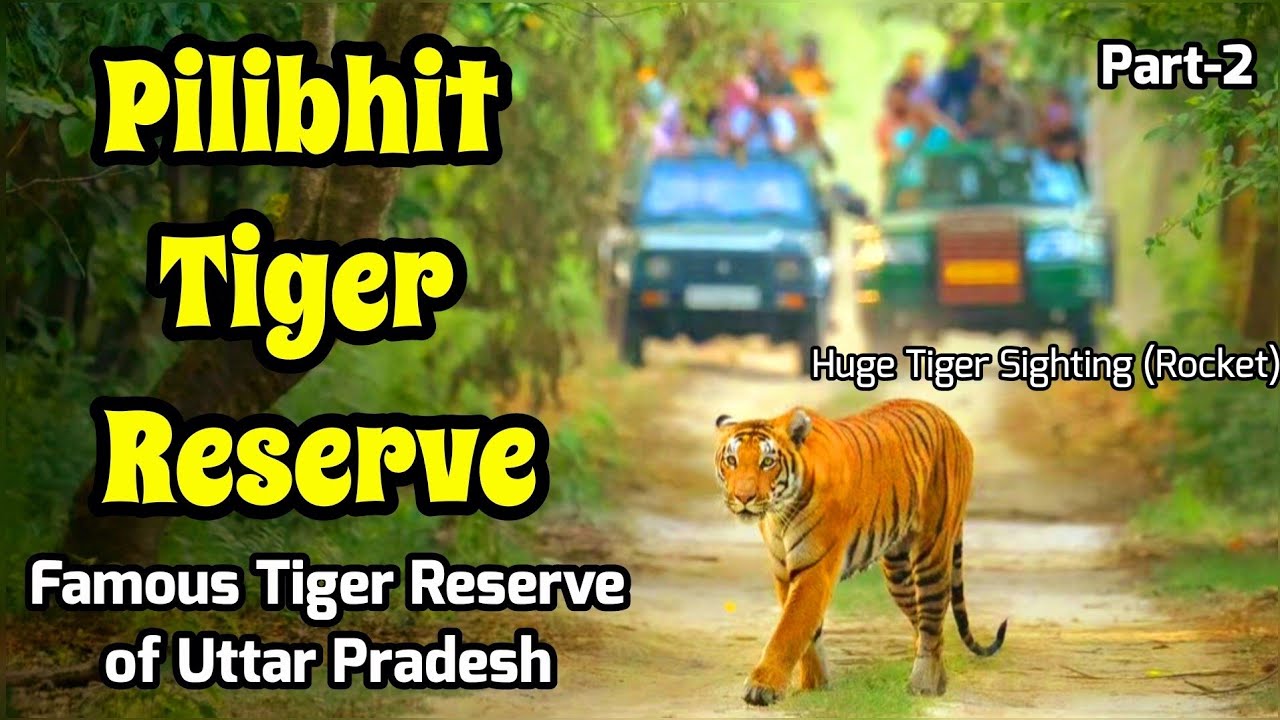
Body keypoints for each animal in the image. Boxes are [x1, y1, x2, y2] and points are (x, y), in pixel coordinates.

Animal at [713, 399, 1007, 706]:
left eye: (767, 462)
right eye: (731, 460)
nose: (743, 497)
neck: (778, 514)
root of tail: (951, 422)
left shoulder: (814, 569)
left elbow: (789, 629)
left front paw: (762, 687)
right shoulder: (784, 571)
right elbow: (808, 632)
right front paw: (814, 686)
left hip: (932, 548)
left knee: (932, 614)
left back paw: (923, 685)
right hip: (898, 573)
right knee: (928, 627)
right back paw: (938, 681)